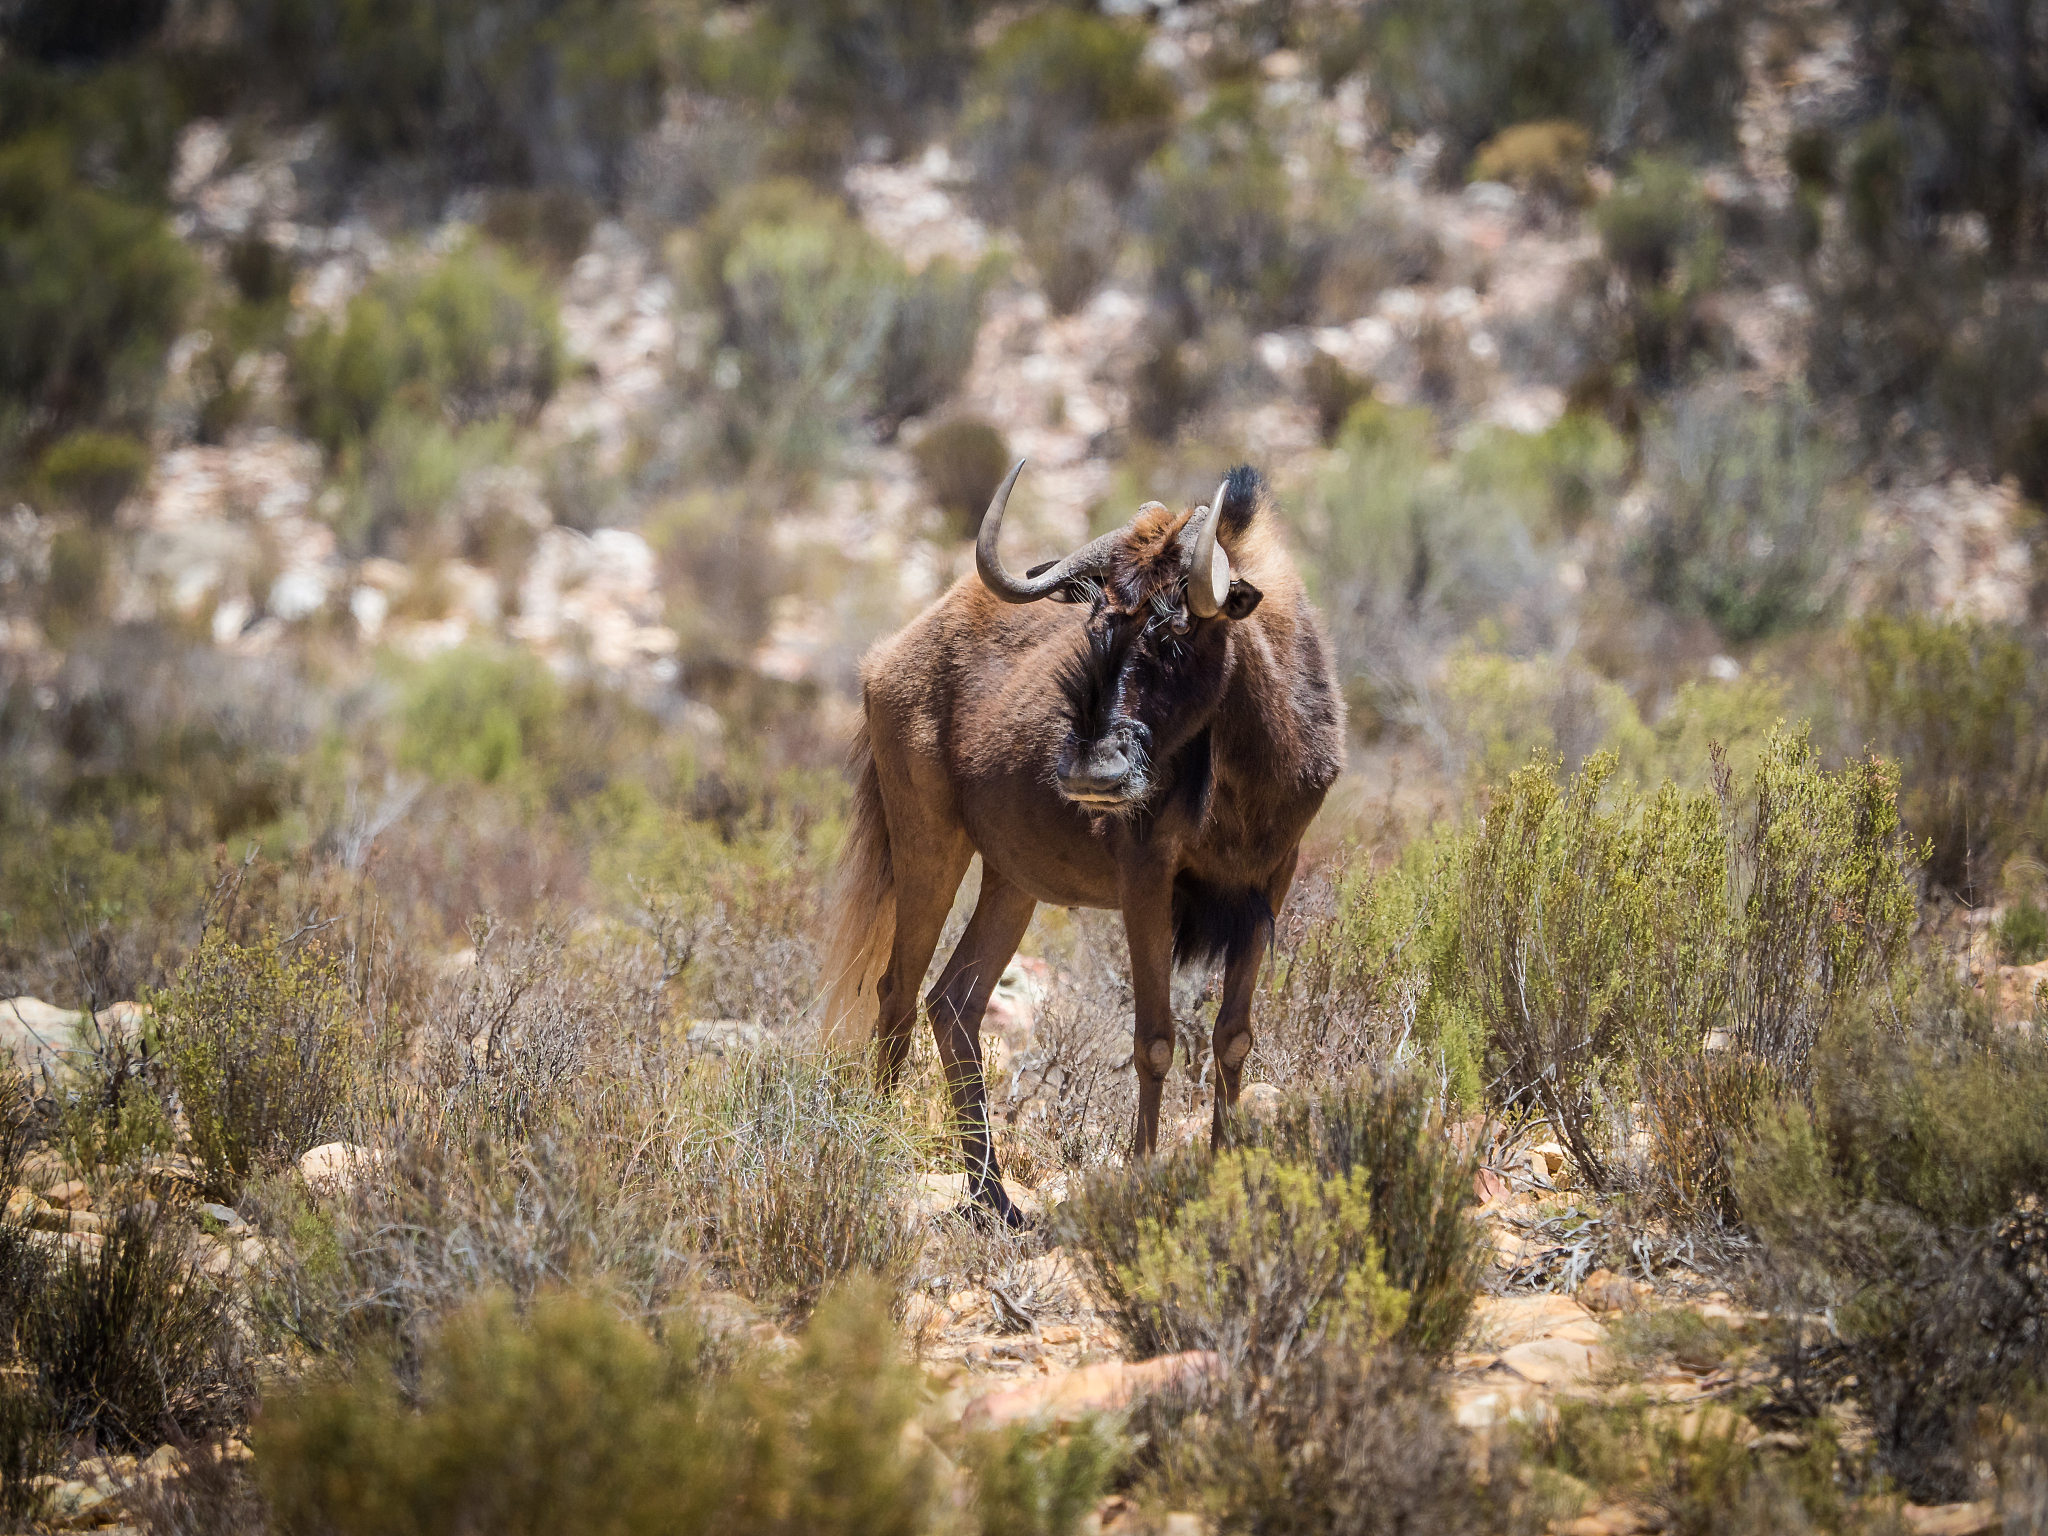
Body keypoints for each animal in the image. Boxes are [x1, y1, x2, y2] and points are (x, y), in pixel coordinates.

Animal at [824, 462, 1344, 1225]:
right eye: (1097, 629)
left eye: (1176, 632)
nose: (1092, 772)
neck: (1244, 771)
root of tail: (888, 659)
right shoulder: (1146, 883)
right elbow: (1155, 1038)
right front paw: (1143, 1182)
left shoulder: (1268, 885)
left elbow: (1233, 1036)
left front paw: (1225, 1177)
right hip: (930, 846)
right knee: (898, 991)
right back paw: (882, 1152)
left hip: (1012, 883)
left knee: (954, 1003)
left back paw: (993, 1198)